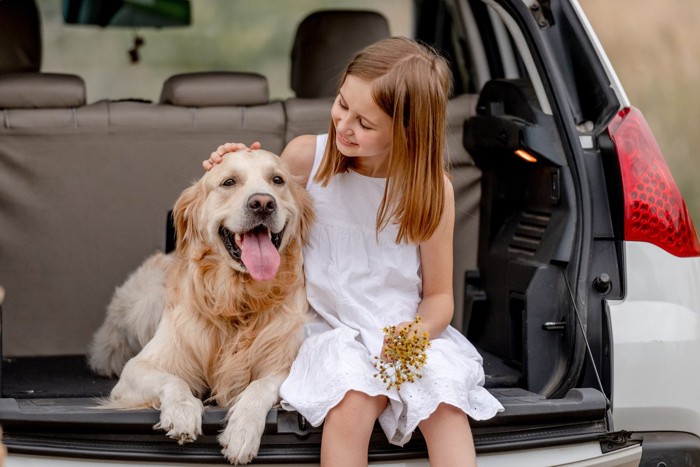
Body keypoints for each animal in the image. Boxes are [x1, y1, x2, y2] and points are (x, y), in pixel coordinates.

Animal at [88, 150, 314, 464]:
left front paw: (242, 430)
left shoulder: (287, 363)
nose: (263, 203)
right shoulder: (139, 368)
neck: (238, 300)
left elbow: (260, 386)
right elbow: (173, 380)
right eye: (229, 182)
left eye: (277, 180)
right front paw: (182, 411)